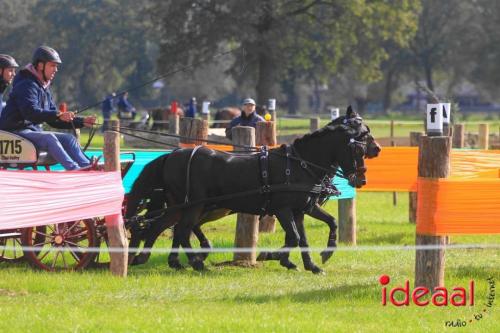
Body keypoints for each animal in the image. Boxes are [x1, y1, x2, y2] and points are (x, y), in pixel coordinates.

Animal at [125, 106, 378, 272]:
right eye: (360, 142)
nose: (362, 178)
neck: (300, 164)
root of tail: (173, 155)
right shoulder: (283, 209)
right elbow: (294, 237)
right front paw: (274, 256)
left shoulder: (302, 209)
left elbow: (315, 232)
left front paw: (315, 262)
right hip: (194, 205)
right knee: (181, 230)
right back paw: (195, 262)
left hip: (184, 205)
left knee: (164, 227)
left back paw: (162, 260)